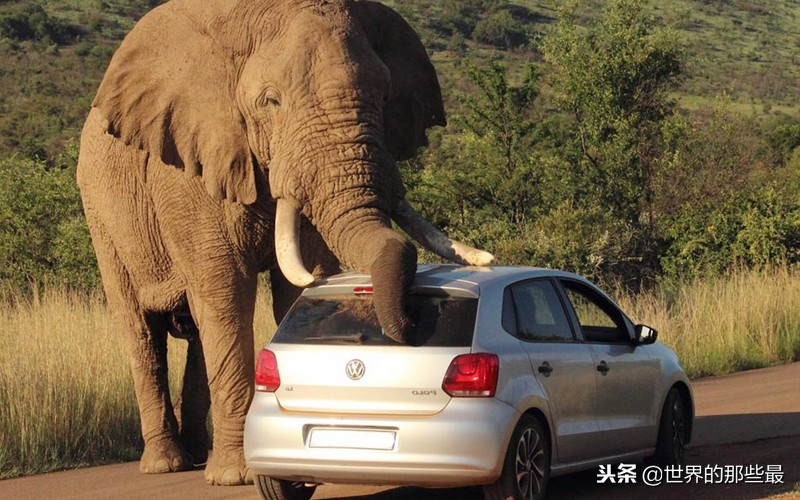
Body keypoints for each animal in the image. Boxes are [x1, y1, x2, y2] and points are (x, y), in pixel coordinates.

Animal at [79, 0, 494, 486]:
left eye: (385, 94)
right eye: (270, 101)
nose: (415, 326)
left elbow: (296, 285)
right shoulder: (186, 171)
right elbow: (226, 293)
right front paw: (237, 476)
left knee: (198, 331)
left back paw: (199, 453)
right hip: (102, 215)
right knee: (144, 332)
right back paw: (167, 463)